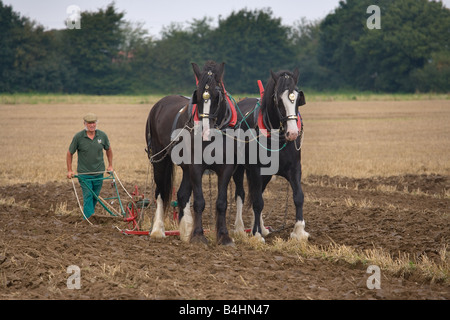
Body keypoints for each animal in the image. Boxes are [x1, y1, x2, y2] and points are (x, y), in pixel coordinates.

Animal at [146, 60, 237, 245]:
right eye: (198, 95)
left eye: (217, 96)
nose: (204, 130)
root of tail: (159, 104)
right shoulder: (196, 167)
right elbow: (199, 201)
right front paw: (199, 236)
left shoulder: (226, 168)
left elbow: (221, 202)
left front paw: (224, 236)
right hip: (160, 159)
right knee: (160, 192)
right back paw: (158, 230)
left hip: (186, 167)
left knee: (182, 194)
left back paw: (185, 230)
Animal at [232, 69, 310, 241]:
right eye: (278, 100)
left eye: (297, 98)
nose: (293, 133)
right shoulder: (256, 170)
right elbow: (257, 202)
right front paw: (256, 234)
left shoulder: (294, 169)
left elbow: (298, 196)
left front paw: (299, 231)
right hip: (239, 168)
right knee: (241, 194)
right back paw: (240, 228)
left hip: (266, 176)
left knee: (258, 193)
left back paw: (261, 227)